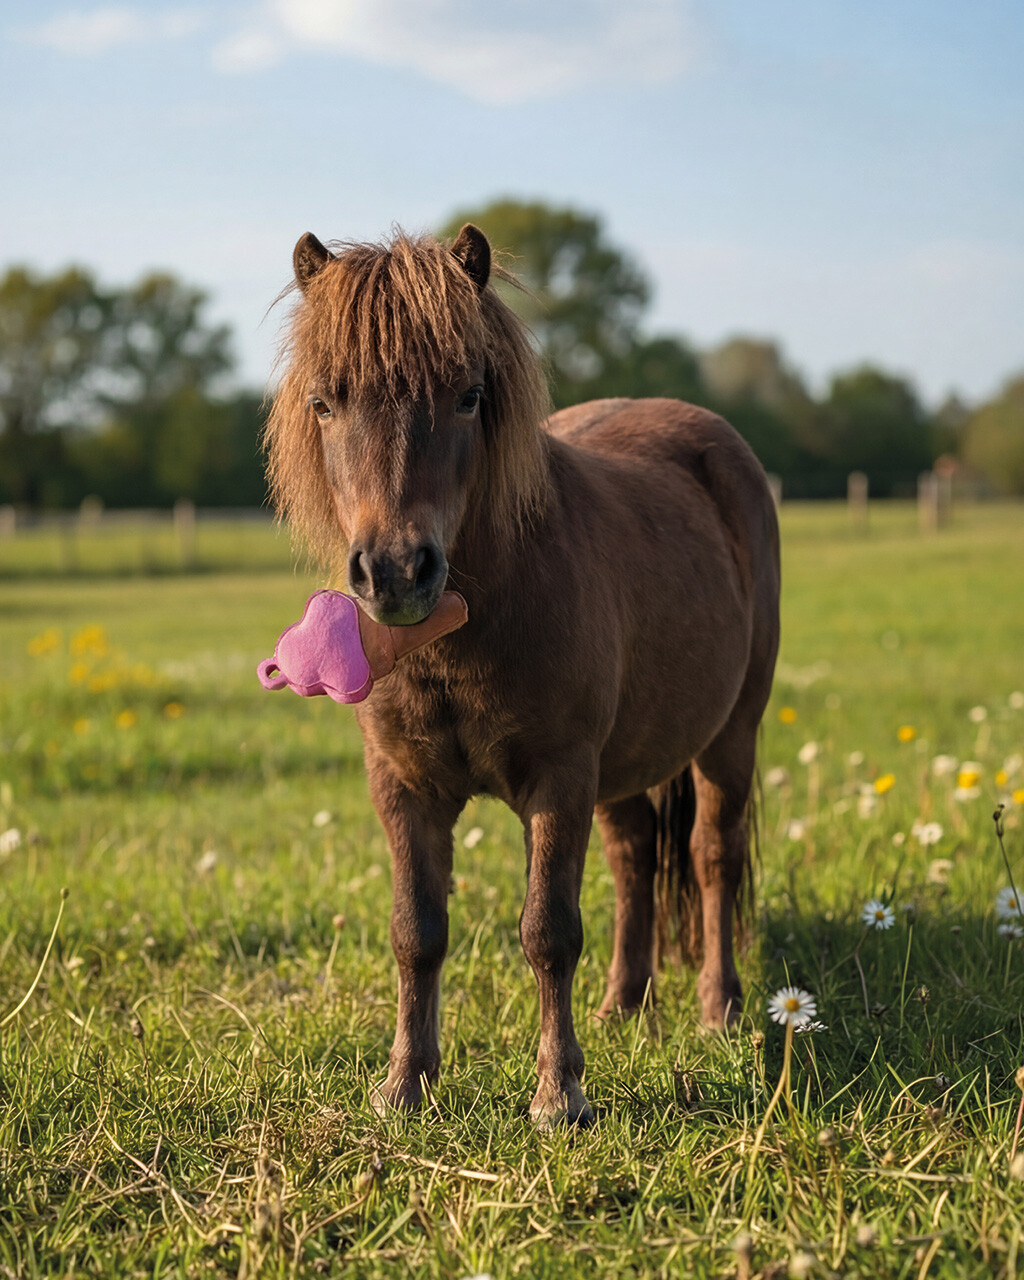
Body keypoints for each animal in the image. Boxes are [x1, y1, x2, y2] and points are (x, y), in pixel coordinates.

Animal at [264, 224, 780, 1126]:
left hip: (729, 738)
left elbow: (549, 931)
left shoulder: (559, 778)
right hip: (624, 768)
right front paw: (405, 1083)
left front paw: (558, 1094)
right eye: (325, 403)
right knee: (635, 859)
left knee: (713, 856)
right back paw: (622, 1006)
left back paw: (718, 1010)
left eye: (470, 396)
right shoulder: (404, 786)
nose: (396, 571)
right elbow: (416, 932)